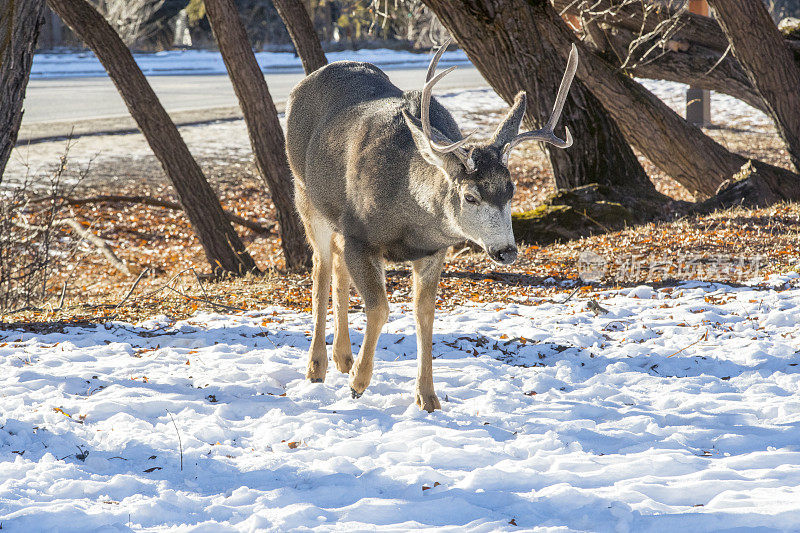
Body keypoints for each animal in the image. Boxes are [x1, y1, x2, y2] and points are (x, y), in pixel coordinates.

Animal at [284, 40, 580, 412]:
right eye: (470, 196)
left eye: (511, 191)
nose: (506, 251)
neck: (409, 217)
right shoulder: (361, 236)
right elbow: (379, 308)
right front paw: (358, 383)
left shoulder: (434, 250)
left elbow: (424, 315)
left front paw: (427, 397)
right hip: (306, 195)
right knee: (321, 267)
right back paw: (317, 367)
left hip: (335, 219)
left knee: (336, 266)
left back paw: (343, 358)